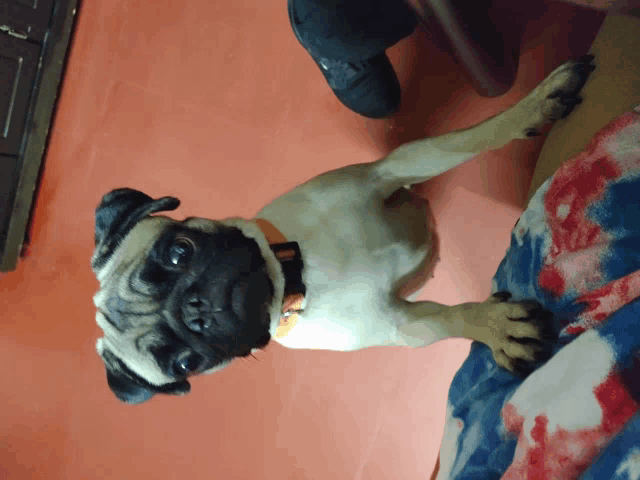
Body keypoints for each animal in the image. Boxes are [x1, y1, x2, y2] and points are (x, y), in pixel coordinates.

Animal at [91, 57, 596, 404]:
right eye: (186, 362)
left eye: (179, 251)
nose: (195, 309)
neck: (299, 277)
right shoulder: (404, 326)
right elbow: (451, 319)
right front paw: (495, 327)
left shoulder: (395, 167)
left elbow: (469, 138)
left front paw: (533, 106)